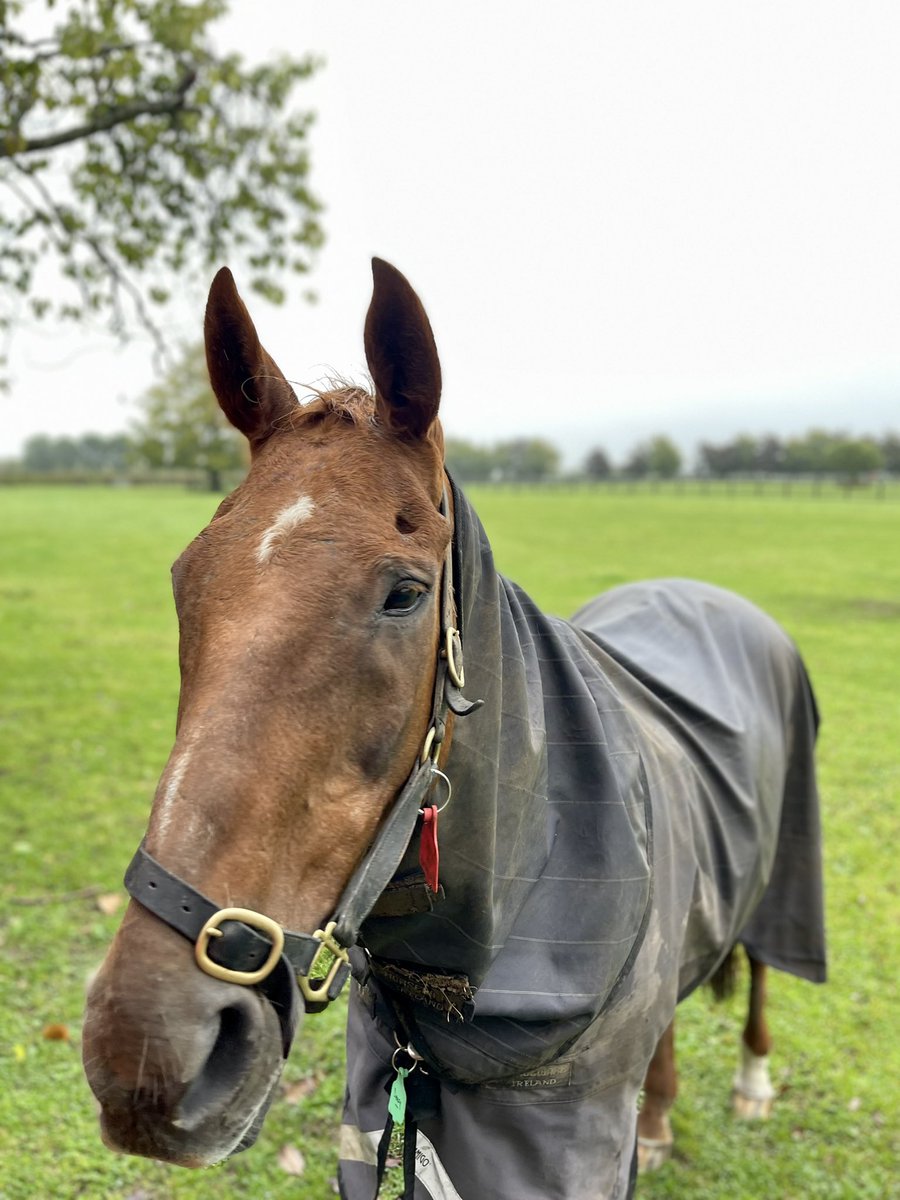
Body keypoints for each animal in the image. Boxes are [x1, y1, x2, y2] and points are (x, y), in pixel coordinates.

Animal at [82, 260, 826, 1198]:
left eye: (405, 594)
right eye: (186, 580)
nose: (146, 1050)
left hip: (781, 868)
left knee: (763, 966)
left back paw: (752, 1082)